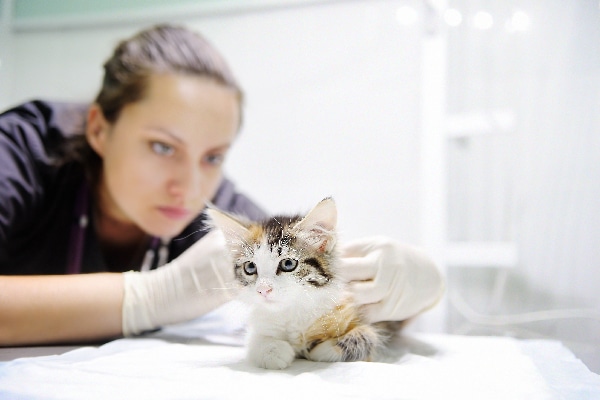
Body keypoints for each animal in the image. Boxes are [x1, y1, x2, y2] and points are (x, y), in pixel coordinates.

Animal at [206, 198, 384, 370]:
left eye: (288, 264)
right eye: (250, 267)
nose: (263, 290)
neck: (294, 310)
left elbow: (367, 336)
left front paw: (321, 350)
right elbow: (254, 340)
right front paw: (274, 351)